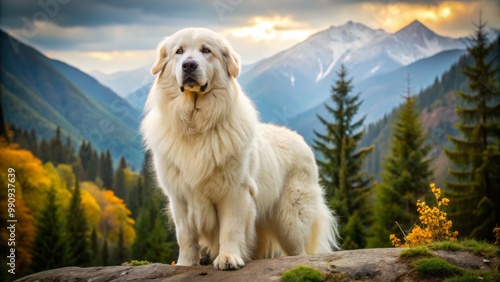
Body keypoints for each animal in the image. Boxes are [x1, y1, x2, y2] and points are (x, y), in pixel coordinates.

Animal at [140, 27, 340, 270]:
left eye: (206, 50)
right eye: (179, 51)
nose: (189, 65)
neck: (197, 126)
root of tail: (301, 141)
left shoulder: (234, 191)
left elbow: (231, 228)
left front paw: (228, 258)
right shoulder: (179, 197)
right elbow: (186, 236)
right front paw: (186, 264)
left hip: (291, 220)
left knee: (298, 251)